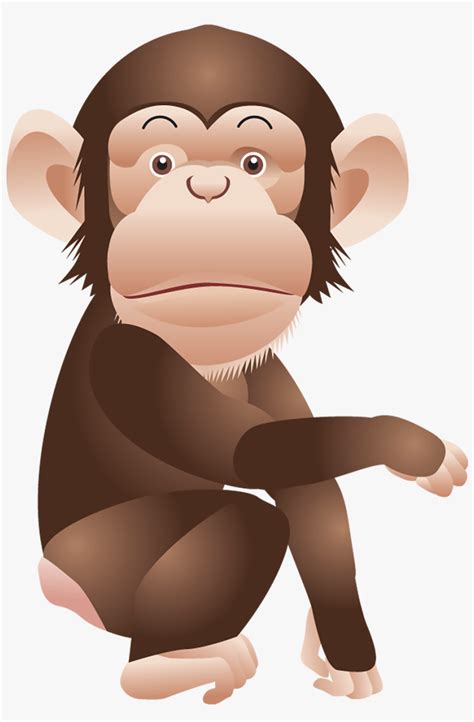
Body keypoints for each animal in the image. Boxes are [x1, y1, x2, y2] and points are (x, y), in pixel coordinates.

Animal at [7, 24, 468, 703]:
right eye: (160, 162)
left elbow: (310, 492)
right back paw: (163, 665)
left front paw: (348, 654)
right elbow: (248, 453)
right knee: (246, 521)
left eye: (254, 162)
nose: (208, 188)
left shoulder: (266, 370)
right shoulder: (127, 361)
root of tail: (55, 582)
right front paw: (411, 444)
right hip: (97, 566)